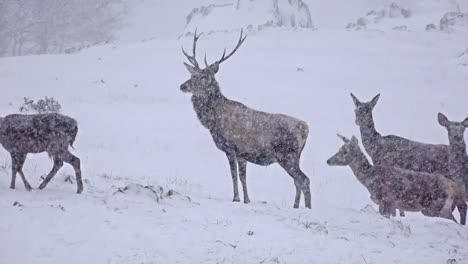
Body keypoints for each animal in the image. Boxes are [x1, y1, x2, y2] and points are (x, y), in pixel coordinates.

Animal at [179, 29, 310, 208]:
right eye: (193, 75)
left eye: (204, 77)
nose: (182, 86)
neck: (213, 121)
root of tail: (306, 128)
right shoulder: (242, 154)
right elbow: (242, 176)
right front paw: (246, 199)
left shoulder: (232, 148)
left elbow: (235, 175)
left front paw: (237, 198)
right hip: (295, 157)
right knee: (298, 181)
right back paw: (296, 207)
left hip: (287, 154)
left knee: (304, 179)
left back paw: (307, 208)